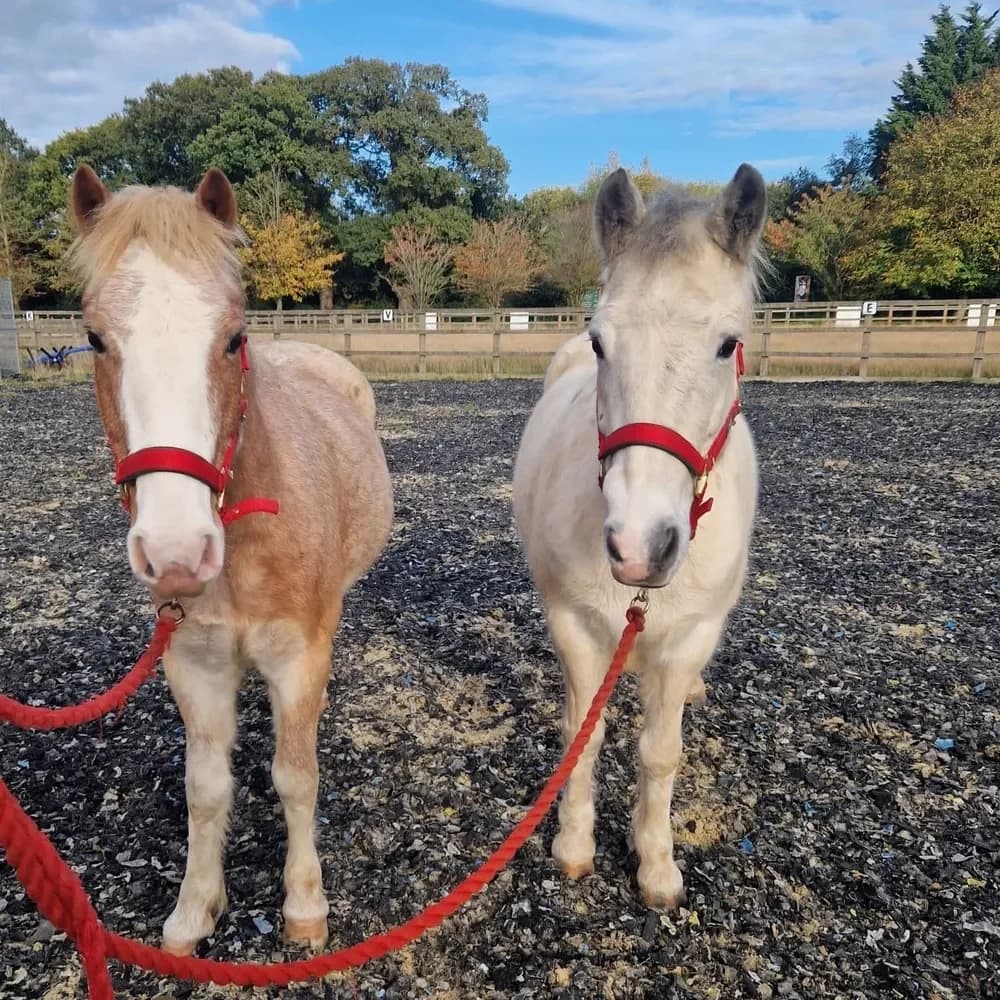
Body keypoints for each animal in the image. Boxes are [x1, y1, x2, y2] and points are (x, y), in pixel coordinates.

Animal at [67, 165, 394, 955]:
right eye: (94, 338)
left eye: (233, 337)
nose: (178, 552)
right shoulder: (194, 661)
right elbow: (206, 787)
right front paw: (195, 909)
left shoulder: (298, 657)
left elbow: (295, 775)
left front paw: (304, 905)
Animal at [512, 163, 765, 907]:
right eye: (601, 342)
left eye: (728, 344)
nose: (638, 547)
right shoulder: (573, 624)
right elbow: (583, 736)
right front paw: (573, 845)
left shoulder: (688, 636)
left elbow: (660, 752)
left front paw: (656, 864)